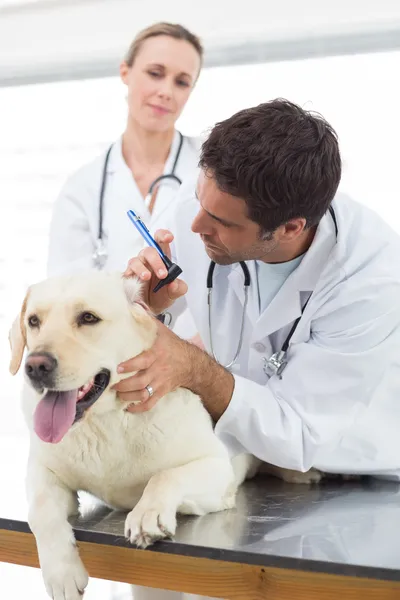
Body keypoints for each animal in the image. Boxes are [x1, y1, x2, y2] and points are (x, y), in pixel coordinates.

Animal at [8, 270, 322, 596]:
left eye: (88, 317)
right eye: (34, 320)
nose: (36, 366)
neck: (108, 420)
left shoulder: (217, 468)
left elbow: (165, 476)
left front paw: (148, 514)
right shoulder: (43, 470)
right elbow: (41, 510)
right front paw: (61, 572)